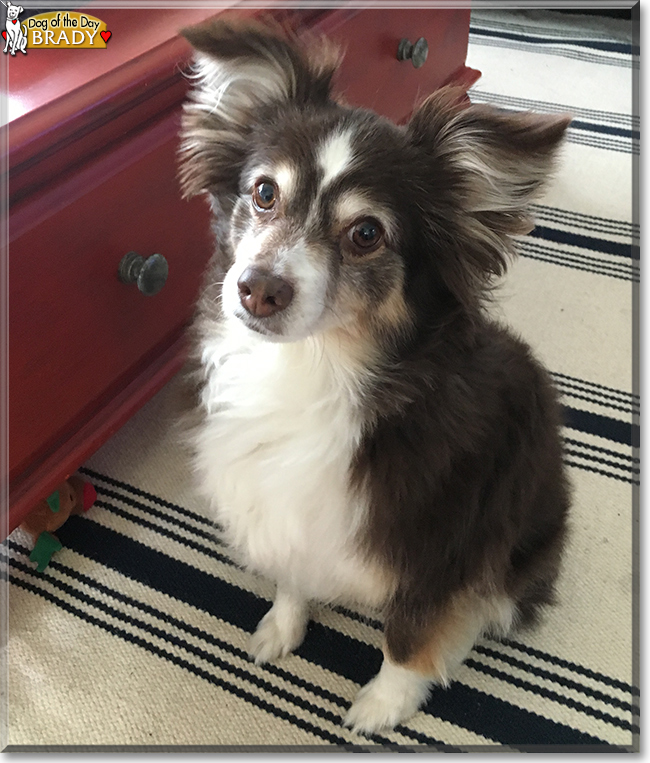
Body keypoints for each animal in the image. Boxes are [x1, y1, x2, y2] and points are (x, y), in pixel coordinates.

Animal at [177, 16, 568, 736]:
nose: (256, 290)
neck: (314, 368)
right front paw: (282, 627)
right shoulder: (291, 509)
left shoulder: (444, 547)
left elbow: (409, 636)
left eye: (366, 233)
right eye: (264, 193)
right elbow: (293, 573)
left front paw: (383, 705)